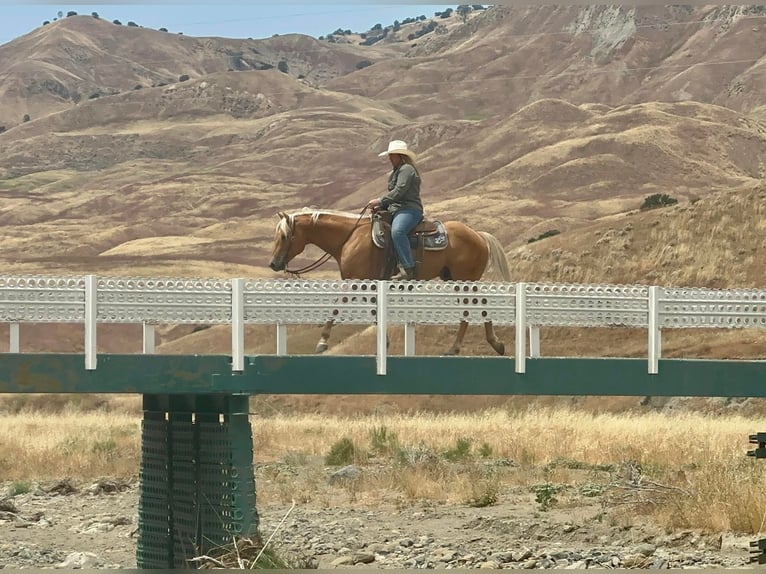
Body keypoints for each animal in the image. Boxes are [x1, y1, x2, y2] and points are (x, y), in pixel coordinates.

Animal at [268, 209, 512, 358]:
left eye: (284, 236)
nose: (273, 263)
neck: (349, 237)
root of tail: (478, 235)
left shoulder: (355, 282)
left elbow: (337, 306)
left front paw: (322, 342)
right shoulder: (370, 284)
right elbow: (375, 314)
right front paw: (383, 344)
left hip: (464, 279)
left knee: (473, 306)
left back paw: (459, 347)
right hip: (454, 278)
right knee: (478, 304)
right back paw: (492, 344)